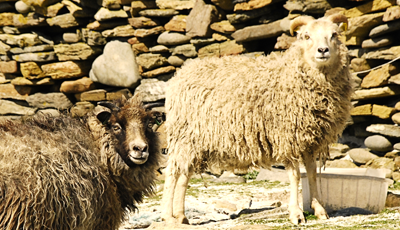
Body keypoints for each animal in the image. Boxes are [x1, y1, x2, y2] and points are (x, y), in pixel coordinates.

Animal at [161, 13, 352, 226]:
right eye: (306, 36)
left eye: (334, 34)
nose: (323, 50)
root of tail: (180, 74)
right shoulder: (287, 138)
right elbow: (295, 176)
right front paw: (296, 214)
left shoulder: (309, 141)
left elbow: (311, 174)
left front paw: (319, 210)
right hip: (183, 136)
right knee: (172, 173)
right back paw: (167, 216)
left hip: (195, 142)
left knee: (184, 175)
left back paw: (181, 216)